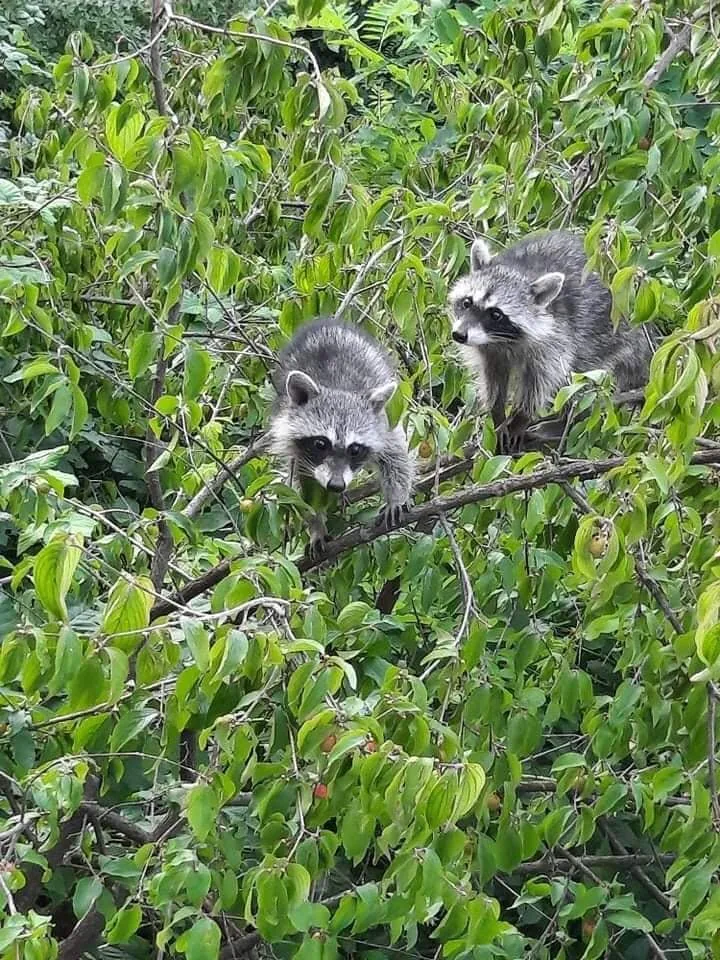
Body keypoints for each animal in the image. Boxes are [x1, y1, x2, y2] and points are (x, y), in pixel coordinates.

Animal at [268, 317, 414, 556]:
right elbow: (299, 486)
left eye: (354, 449)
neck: (338, 390)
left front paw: (397, 497)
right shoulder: (292, 440)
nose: (336, 485)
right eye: (320, 444)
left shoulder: (383, 424)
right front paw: (316, 525)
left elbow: (397, 456)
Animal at [448, 230, 655, 452]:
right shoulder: (488, 350)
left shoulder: (556, 338)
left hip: (609, 341)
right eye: (467, 302)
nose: (459, 335)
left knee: (580, 375)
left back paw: (563, 423)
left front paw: (521, 417)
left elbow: (544, 379)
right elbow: (492, 378)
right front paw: (497, 413)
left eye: (495, 314)